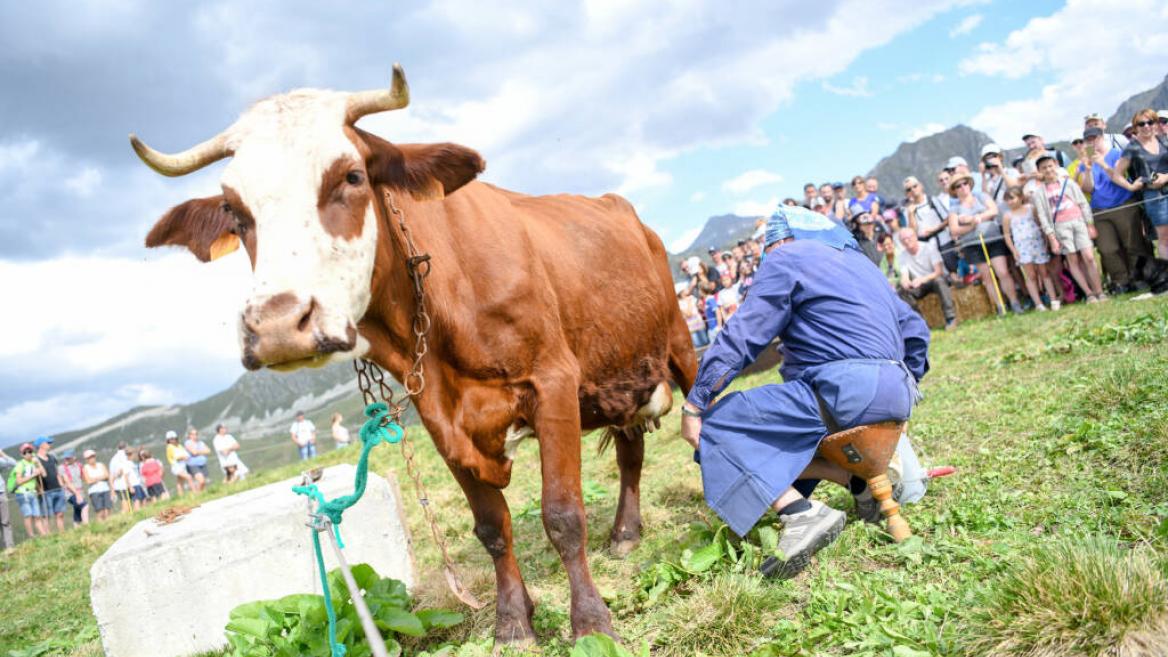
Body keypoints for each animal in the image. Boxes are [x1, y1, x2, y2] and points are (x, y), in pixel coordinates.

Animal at [136, 66, 696, 645]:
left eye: (352, 176)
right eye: (232, 208)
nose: (278, 326)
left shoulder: (553, 381)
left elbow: (562, 514)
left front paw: (590, 621)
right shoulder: (437, 415)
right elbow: (492, 527)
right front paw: (513, 619)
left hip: (678, 342)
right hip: (620, 371)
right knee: (631, 450)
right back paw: (626, 532)